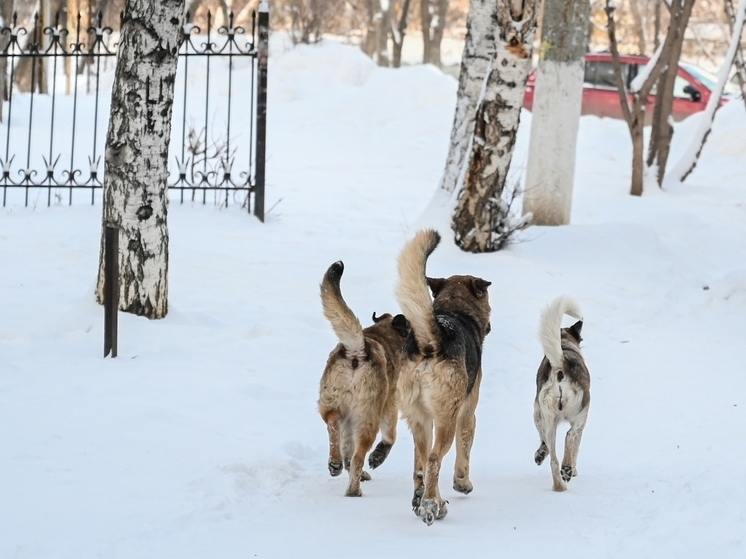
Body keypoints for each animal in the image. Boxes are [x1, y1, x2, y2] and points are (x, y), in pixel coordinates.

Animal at [314, 260, 406, 496]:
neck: (381, 335)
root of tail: (357, 350)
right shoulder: (390, 402)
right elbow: (390, 436)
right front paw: (378, 457)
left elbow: (346, 446)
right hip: (367, 417)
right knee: (357, 457)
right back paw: (354, 490)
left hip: (332, 402)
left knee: (333, 426)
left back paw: (335, 463)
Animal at [392, 229, 492, 524]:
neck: (454, 311)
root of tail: (430, 342)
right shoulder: (467, 414)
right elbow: (464, 450)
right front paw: (462, 483)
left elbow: (421, 462)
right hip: (446, 419)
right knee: (435, 458)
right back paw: (430, 505)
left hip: (419, 419)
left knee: (422, 464)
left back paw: (425, 500)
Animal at [532, 296, 588, 492]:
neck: (565, 344)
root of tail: (560, 367)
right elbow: (576, 445)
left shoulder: (538, 414)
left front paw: (541, 454)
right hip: (579, 417)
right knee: (570, 436)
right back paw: (568, 469)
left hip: (548, 419)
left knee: (553, 460)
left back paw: (559, 485)